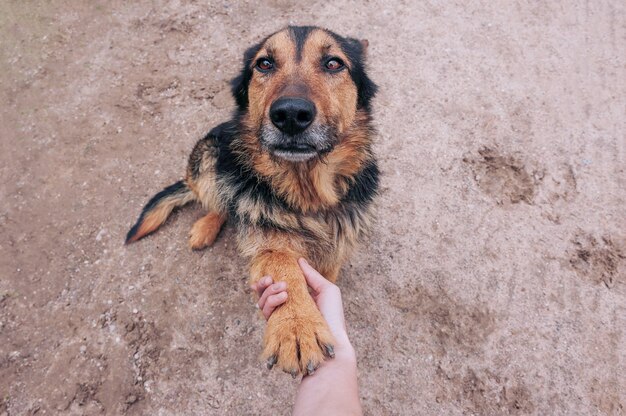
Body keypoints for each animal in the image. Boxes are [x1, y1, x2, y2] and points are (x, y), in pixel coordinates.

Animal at [123, 26, 376, 376]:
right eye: (265, 64)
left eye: (334, 63)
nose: (291, 114)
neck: (306, 193)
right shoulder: (267, 239)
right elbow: (281, 265)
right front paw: (296, 325)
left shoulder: (334, 252)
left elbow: (324, 280)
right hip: (210, 153)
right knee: (221, 201)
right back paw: (205, 227)